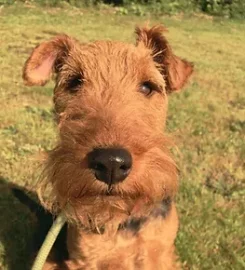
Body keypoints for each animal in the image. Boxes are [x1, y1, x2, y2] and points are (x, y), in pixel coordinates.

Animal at [22, 24, 193, 268]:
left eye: (147, 86)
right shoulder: (85, 260)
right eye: (74, 82)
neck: (121, 215)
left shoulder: (158, 253)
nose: (111, 163)